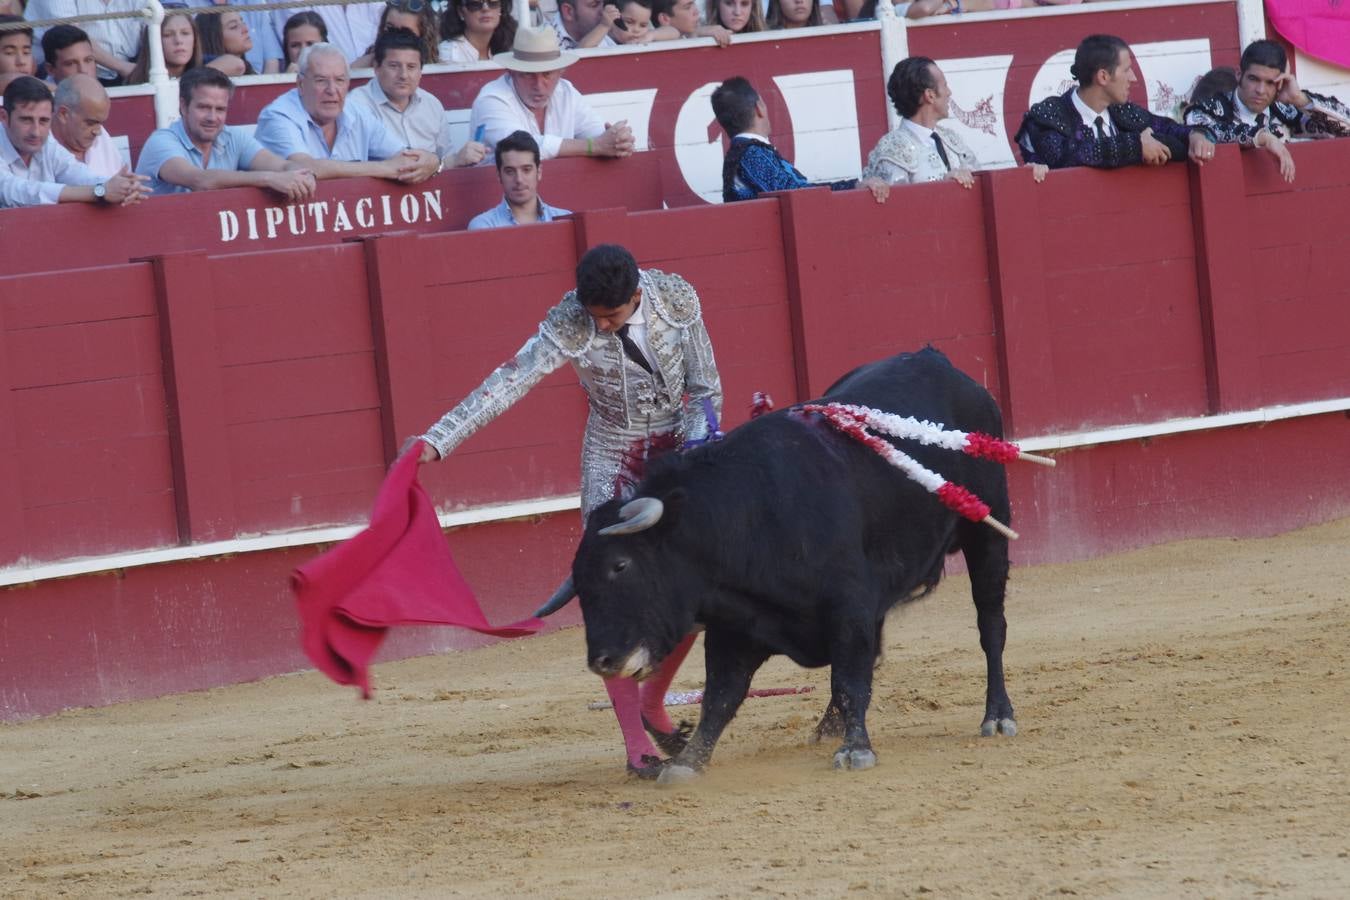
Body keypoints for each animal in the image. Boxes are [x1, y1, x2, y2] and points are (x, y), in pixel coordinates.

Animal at [575, 348, 1015, 782]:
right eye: (578, 582)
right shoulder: (734, 626)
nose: (602, 661)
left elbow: (848, 676)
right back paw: (827, 727)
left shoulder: (849, 608)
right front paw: (687, 761)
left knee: (990, 624)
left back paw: (997, 716)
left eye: (620, 565)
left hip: (990, 529)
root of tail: (937, 361)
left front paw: (856, 750)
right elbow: (721, 695)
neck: (745, 515)